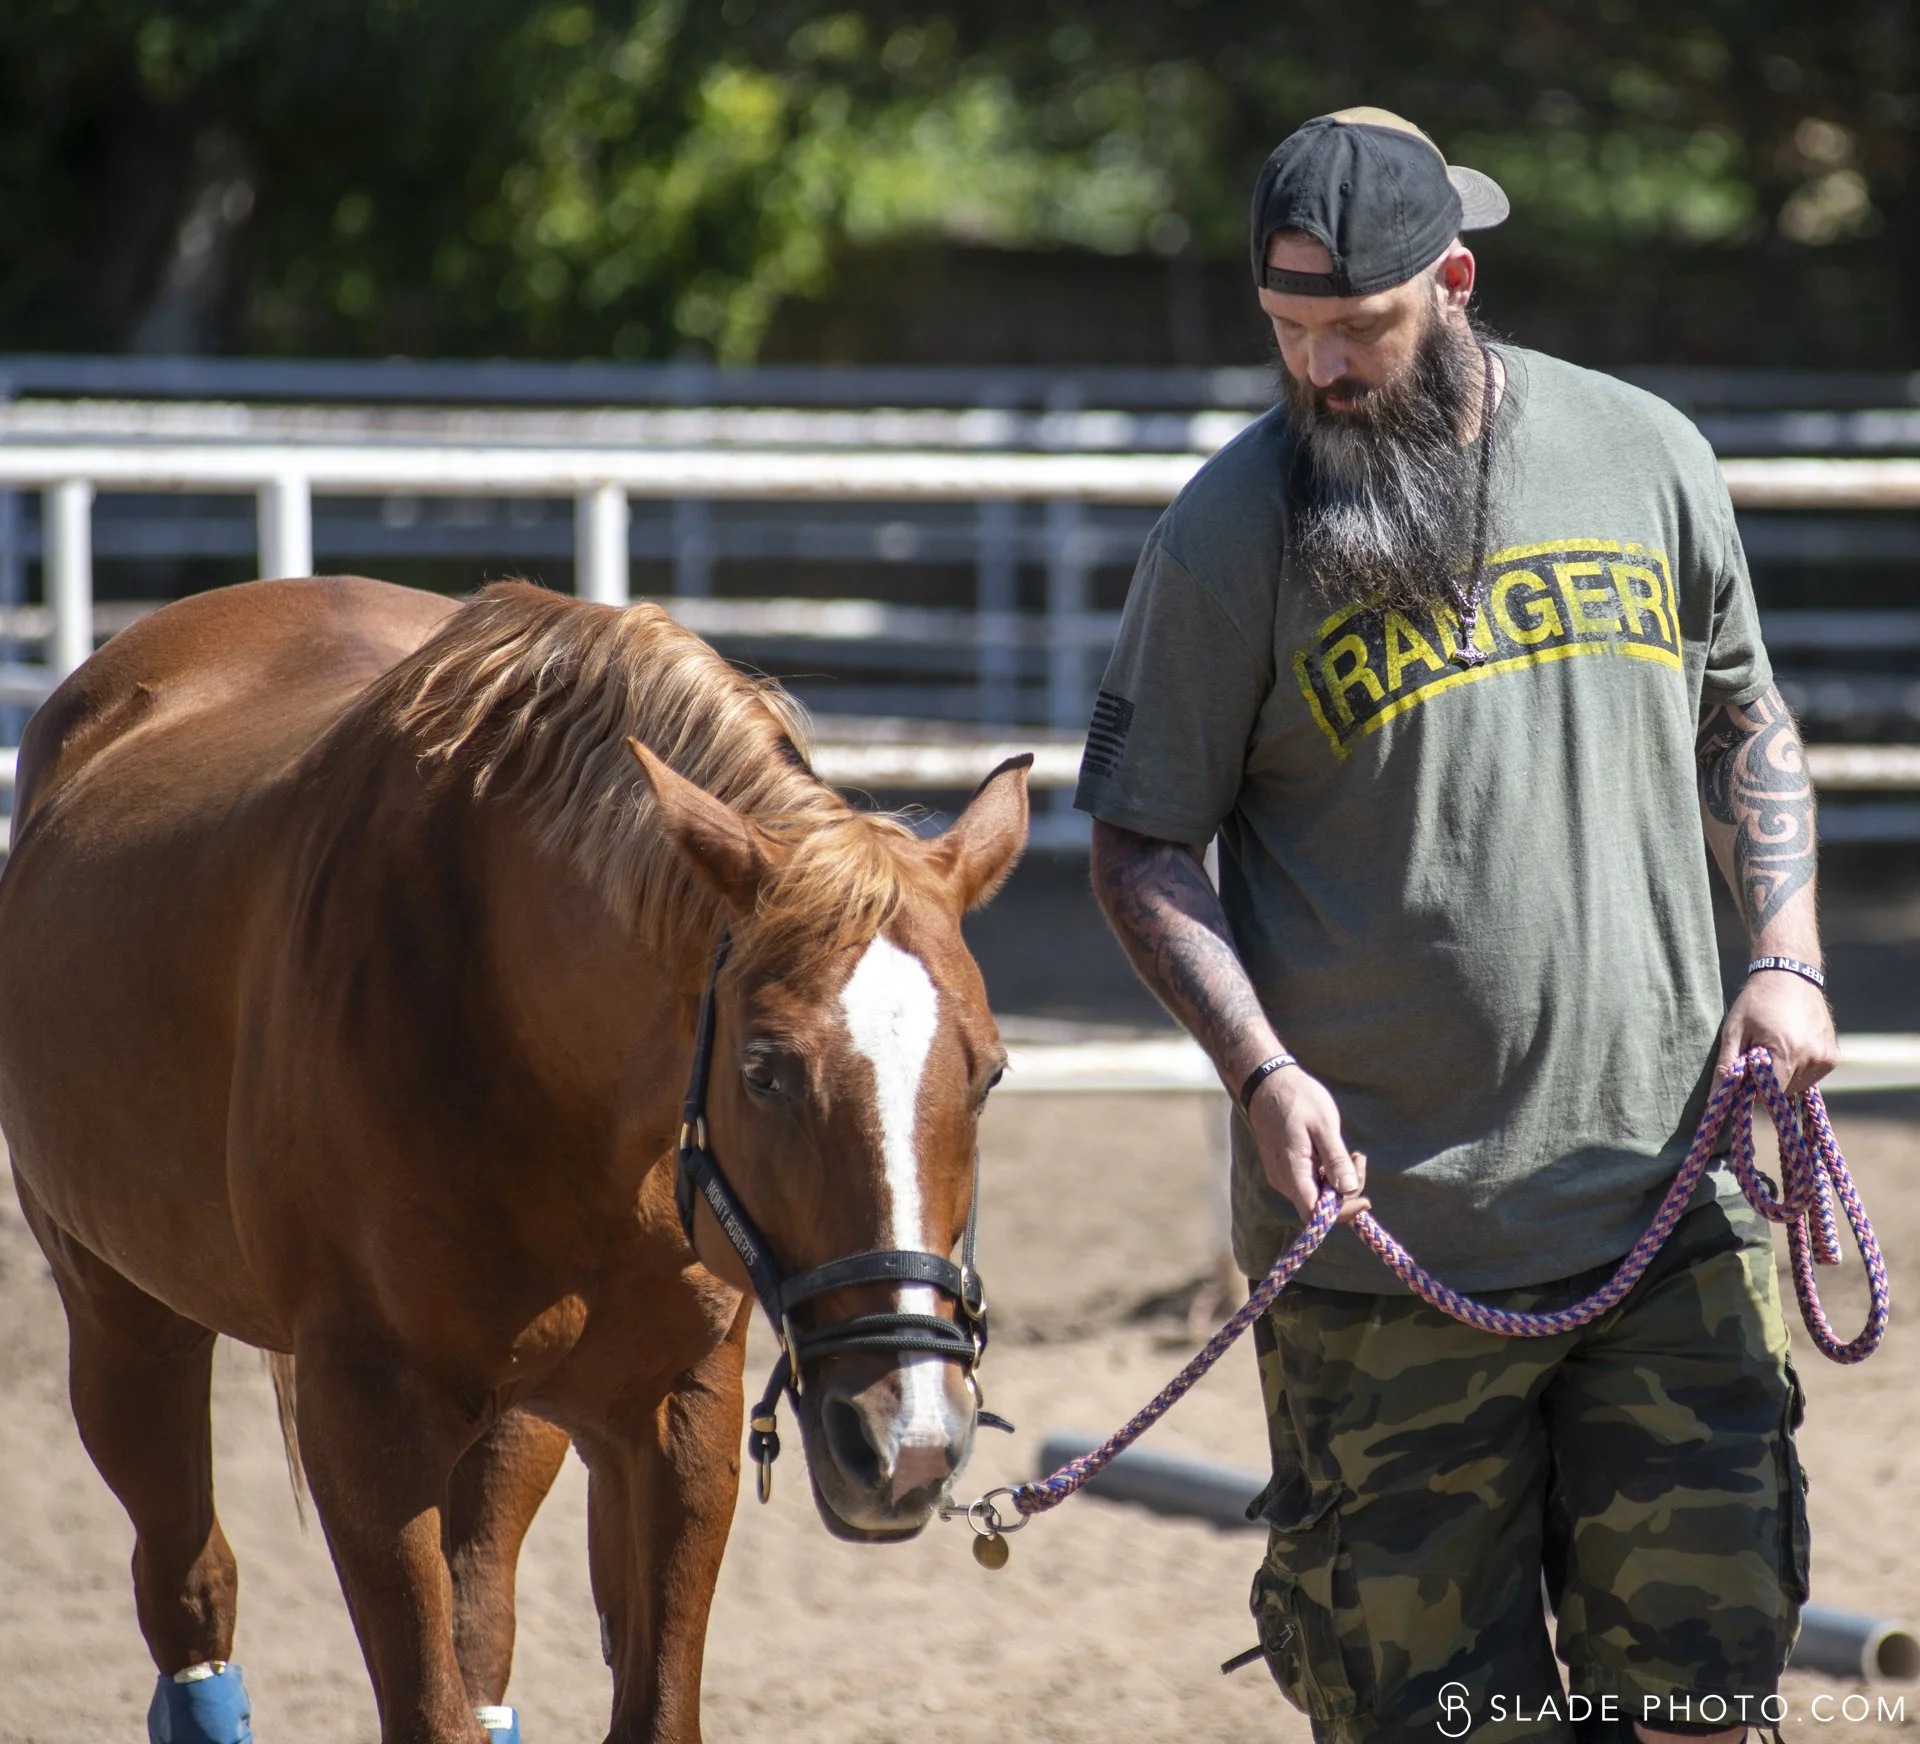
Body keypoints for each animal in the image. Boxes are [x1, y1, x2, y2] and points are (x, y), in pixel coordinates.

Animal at [0, 575, 1030, 1744]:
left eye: (989, 1072)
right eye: (764, 1069)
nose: (908, 1440)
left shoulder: (678, 1419)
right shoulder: (368, 1434)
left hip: (512, 1427)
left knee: (479, 1617)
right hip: (125, 1327)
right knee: (188, 1588)